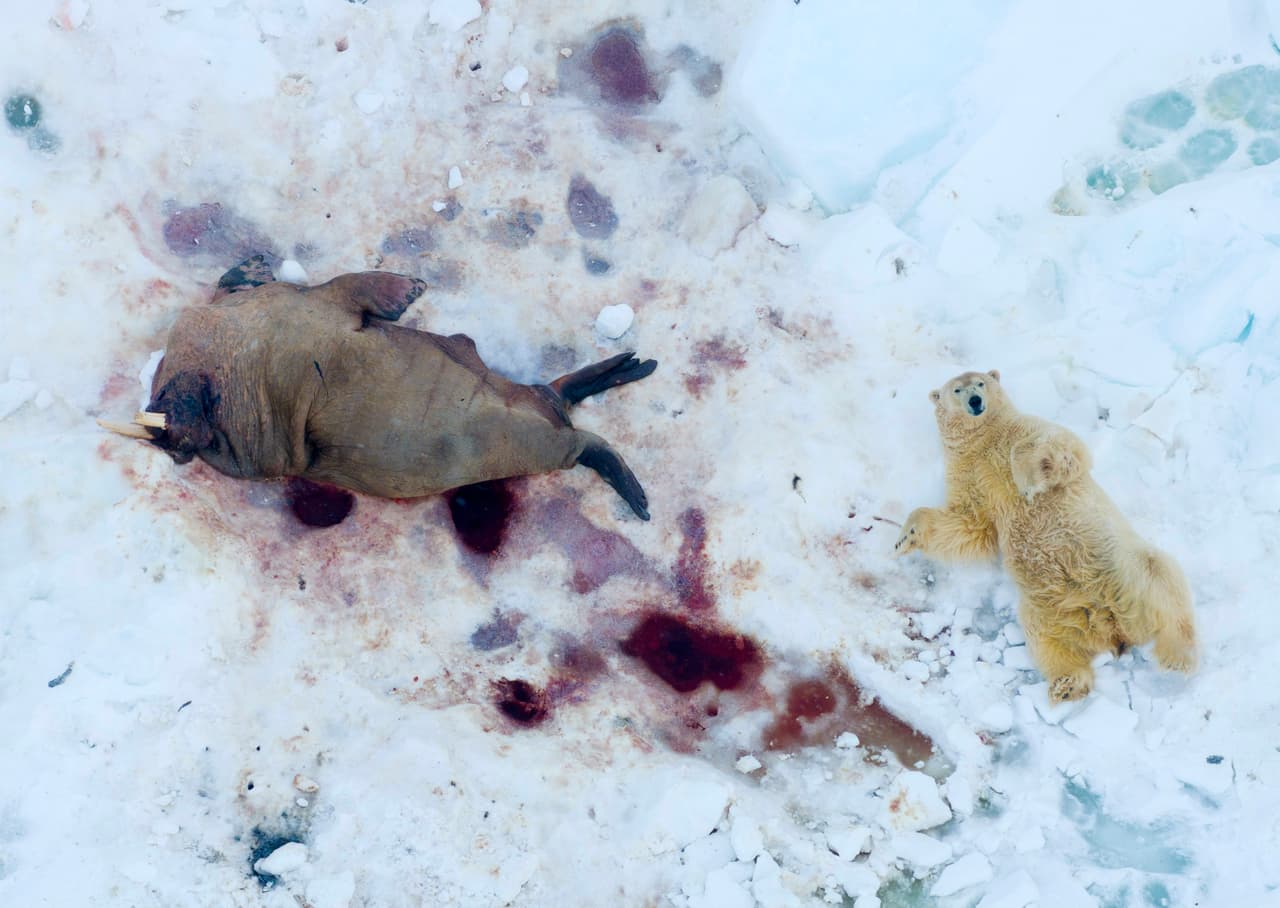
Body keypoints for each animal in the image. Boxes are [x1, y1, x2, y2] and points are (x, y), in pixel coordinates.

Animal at [893, 369, 1198, 702]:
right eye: (957, 390)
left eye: (981, 383)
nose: (975, 401)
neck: (983, 439)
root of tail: (1113, 627)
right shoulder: (968, 475)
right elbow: (972, 525)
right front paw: (904, 538)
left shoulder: (1028, 428)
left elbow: (1061, 449)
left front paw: (1026, 481)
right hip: (1049, 611)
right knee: (1048, 642)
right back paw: (1067, 685)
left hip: (1126, 568)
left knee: (1162, 583)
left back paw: (1176, 658)